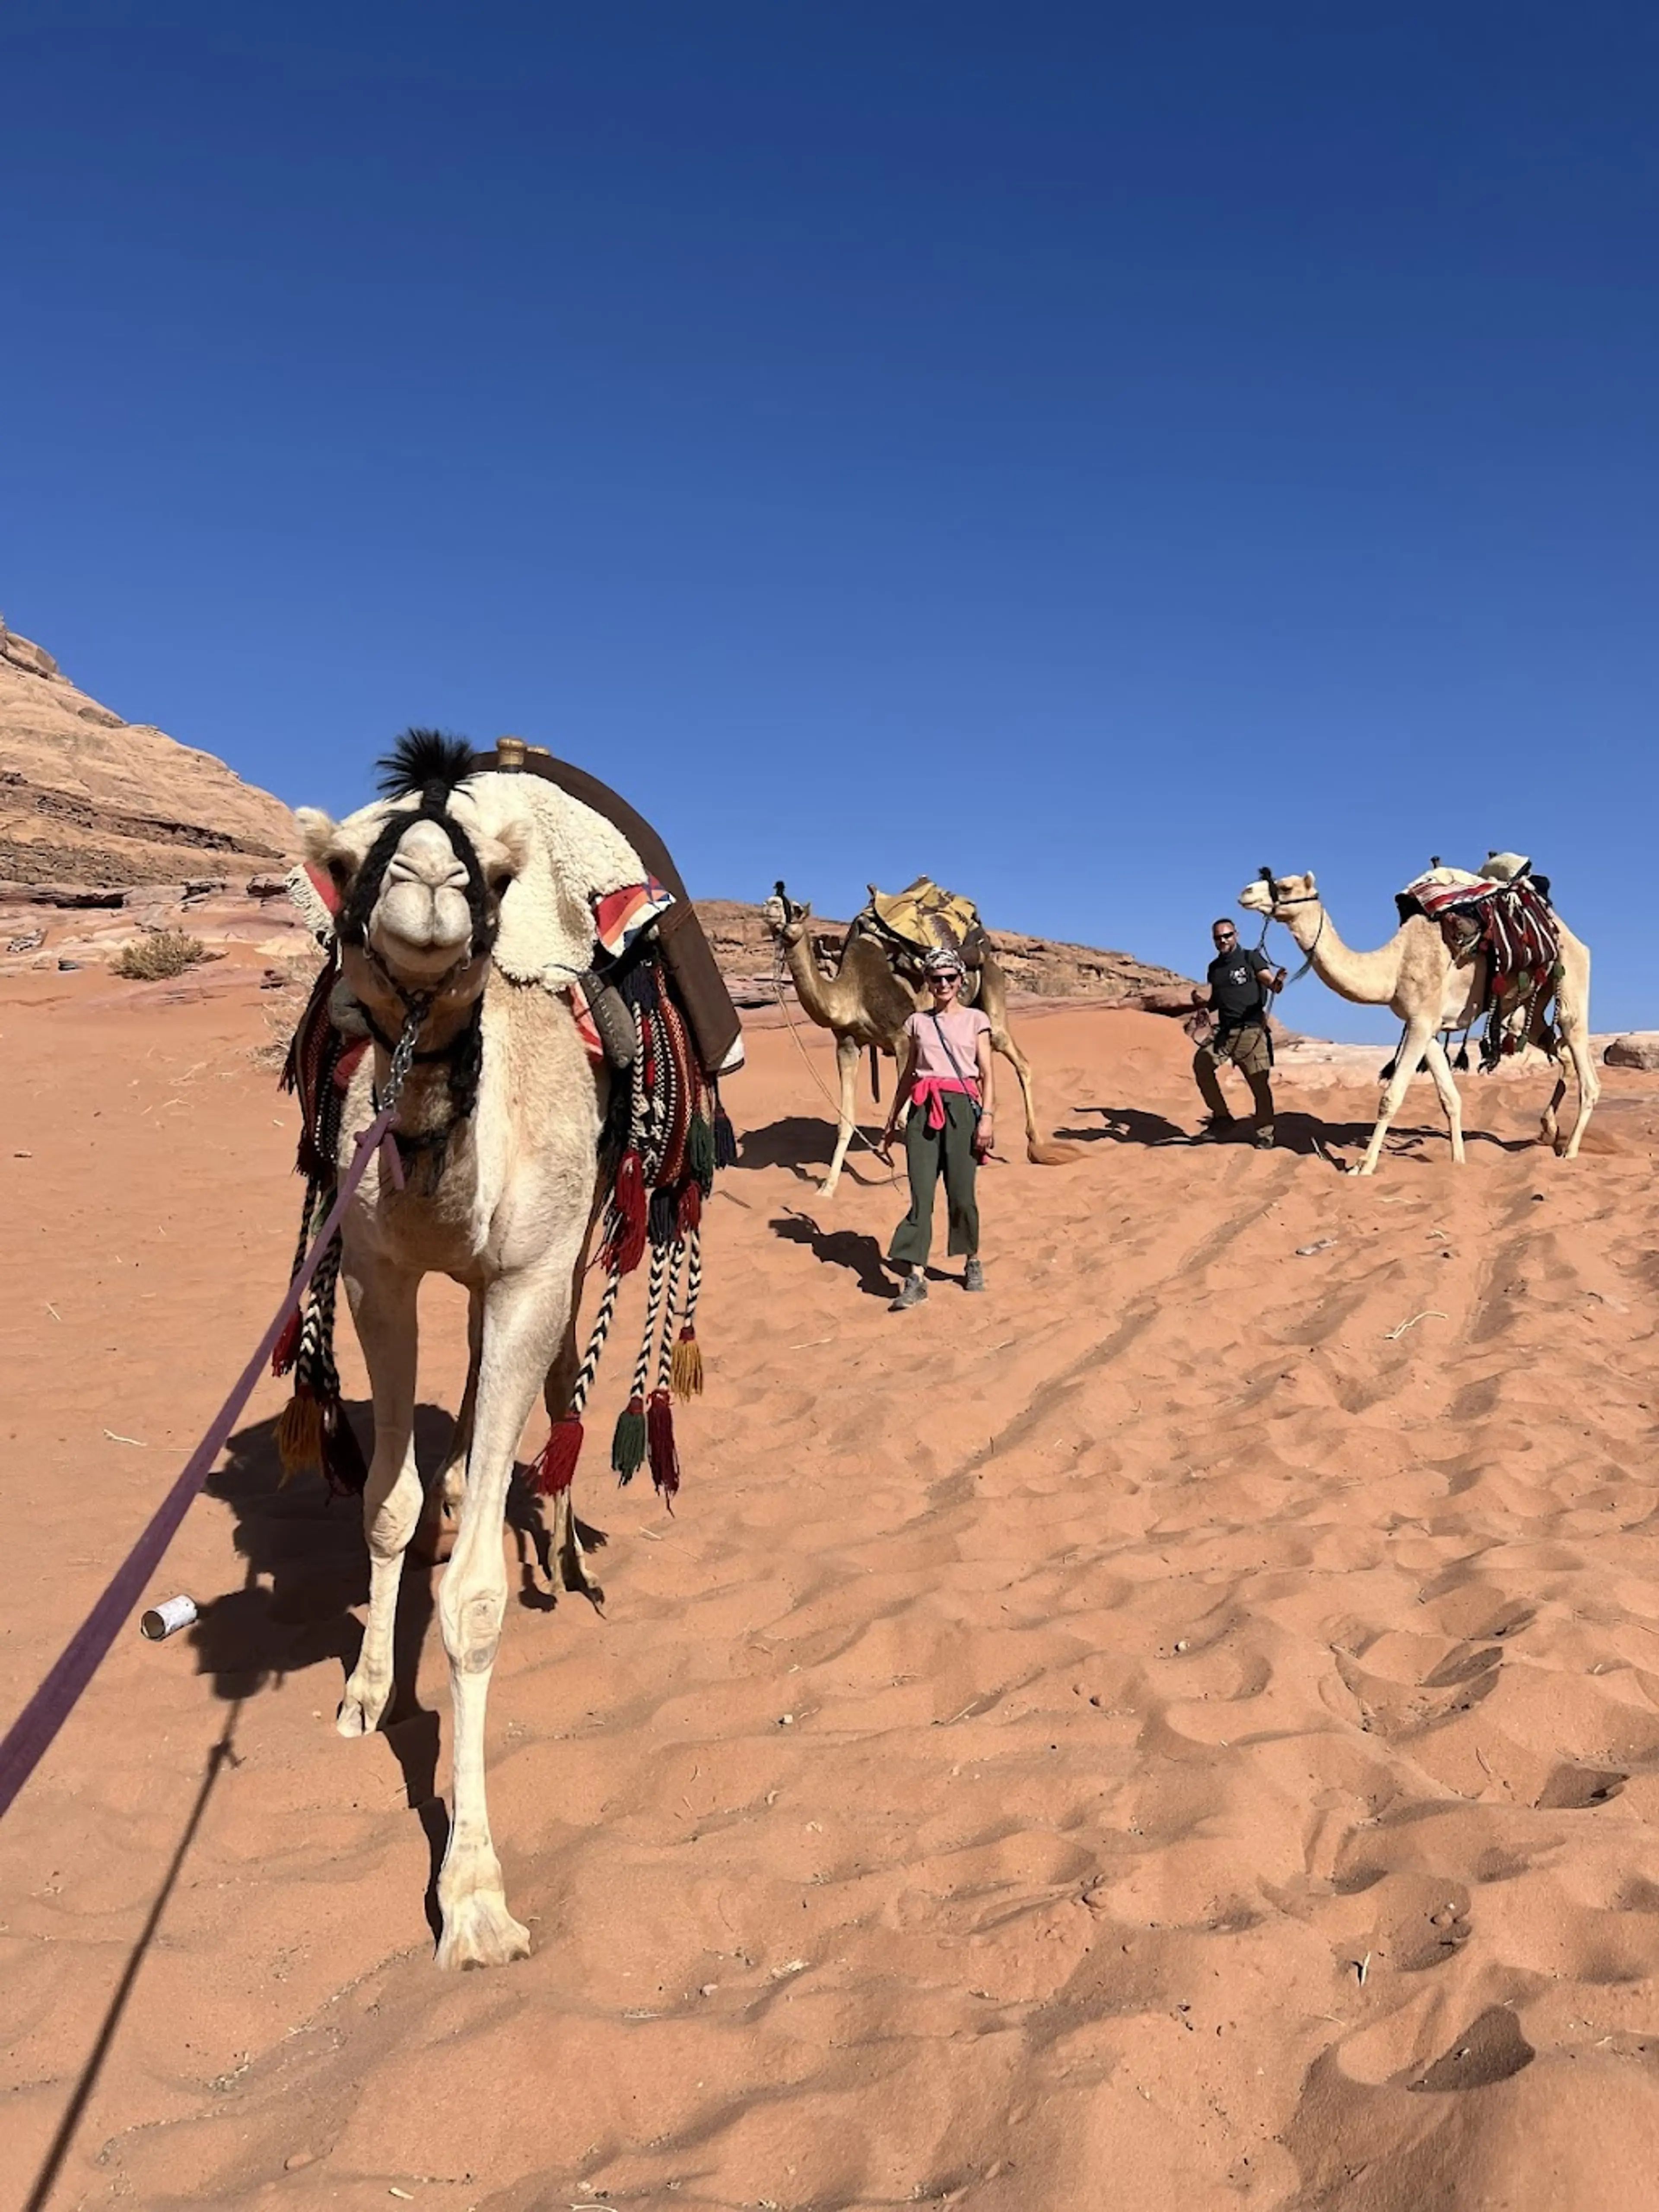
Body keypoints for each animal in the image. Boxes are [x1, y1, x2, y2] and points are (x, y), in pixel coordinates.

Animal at [293, 740, 635, 1969]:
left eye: (488, 870)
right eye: (350, 861)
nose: (430, 883)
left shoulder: (533, 1272)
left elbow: (478, 1598)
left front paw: (477, 1898)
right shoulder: (373, 1274)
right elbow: (385, 1505)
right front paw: (366, 1690)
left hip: (580, 1245)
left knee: (548, 1385)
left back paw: (568, 1549)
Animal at [761, 882, 1075, 1195]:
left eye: (795, 908)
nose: (770, 904)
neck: (853, 992)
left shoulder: (903, 1039)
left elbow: (903, 1118)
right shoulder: (848, 1045)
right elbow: (845, 1121)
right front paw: (827, 1188)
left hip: (993, 995)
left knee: (1019, 1061)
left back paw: (1035, 1146)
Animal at [1237, 870, 1599, 1176]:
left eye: (1285, 887)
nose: (1246, 892)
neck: (1393, 967)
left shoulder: (1421, 1022)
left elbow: (1390, 1097)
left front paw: (1363, 1165)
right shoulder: (1428, 1026)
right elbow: (1450, 1099)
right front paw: (1458, 1162)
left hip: (1570, 976)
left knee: (1583, 1060)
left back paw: (1570, 1150)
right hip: (1525, 1009)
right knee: (1559, 1052)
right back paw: (1549, 1129)